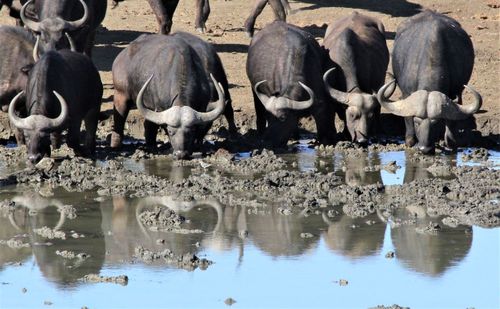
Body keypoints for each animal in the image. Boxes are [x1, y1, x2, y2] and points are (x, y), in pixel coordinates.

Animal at [378, 10, 480, 153]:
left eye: (436, 123)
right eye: (417, 122)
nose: (425, 148)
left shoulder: (456, 95)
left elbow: (452, 125)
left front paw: (450, 142)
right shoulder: (406, 95)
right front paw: (410, 141)